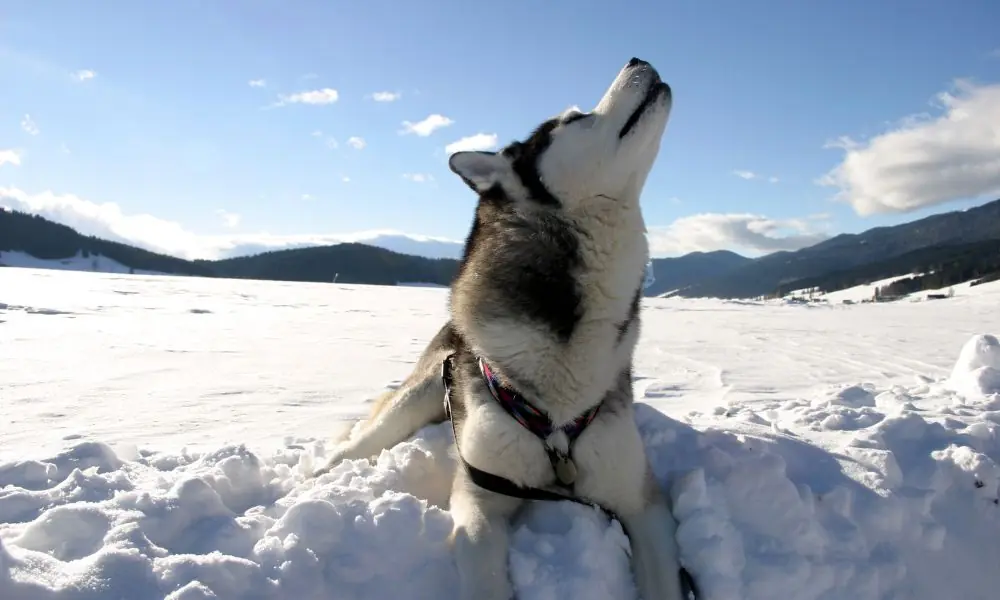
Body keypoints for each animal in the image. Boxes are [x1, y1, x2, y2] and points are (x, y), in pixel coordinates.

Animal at [313, 57, 692, 600]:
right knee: (361, 441)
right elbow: (485, 575)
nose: (639, 60)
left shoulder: (642, 503)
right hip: (418, 397)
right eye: (574, 119)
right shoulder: (479, 499)